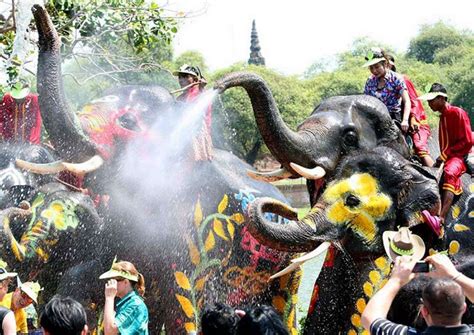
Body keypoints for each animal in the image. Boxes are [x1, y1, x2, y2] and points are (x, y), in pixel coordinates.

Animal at [21, 5, 300, 335]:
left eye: (127, 122)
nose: (38, 9)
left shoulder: (197, 231)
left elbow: (183, 298)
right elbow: (95, 271)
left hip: (289, 258)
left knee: (286, 301)